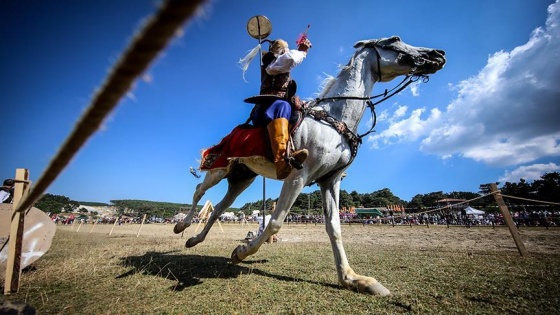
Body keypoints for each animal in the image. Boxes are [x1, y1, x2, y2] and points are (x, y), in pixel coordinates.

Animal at [175, 37, 446, 296]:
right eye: (393, 41)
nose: (437, 55)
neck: (334, 120)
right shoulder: (297, 176)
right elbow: (275, 222)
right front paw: (241, 251)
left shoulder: (330, 181)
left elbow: (334, 227)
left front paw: (352, 279)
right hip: (220, 169)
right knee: (200, 190)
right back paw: (182, 225)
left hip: (243, 178)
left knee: (220, 208)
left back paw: (194, 239)